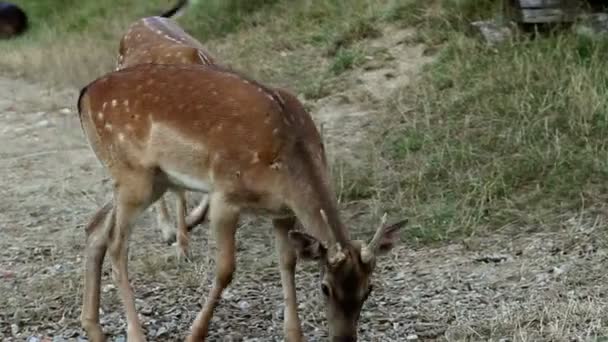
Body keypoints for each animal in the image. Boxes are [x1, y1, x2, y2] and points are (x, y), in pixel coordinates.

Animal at [77, 62, 408, 342]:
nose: (344, 338)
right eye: (325, 288)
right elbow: (225, 270)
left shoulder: (282, 212)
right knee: (116, 245)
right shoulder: (224, 194)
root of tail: (84, 95)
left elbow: (287, 262)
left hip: (151, 180)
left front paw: (294, 335)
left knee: (95, 227)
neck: (287, 162)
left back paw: (94, 329)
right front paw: (194, 334)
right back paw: (135, 334)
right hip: (134, 175)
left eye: (368, 289)